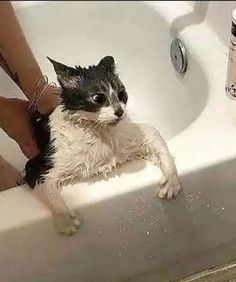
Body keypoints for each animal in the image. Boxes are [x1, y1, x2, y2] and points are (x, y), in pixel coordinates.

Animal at [24, 55, 181, 236]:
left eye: (122, 94)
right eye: (98, 98)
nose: (120, 112)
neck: (99, 132)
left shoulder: (140, 134)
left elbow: (159, 143)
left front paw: (171, 180)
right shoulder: (35, 166)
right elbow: (47, 188)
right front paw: (64, 219)